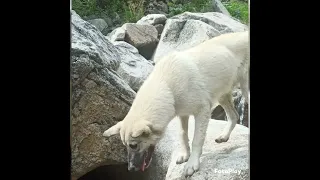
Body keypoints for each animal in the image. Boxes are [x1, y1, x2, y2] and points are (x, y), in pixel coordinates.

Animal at [104, 31, 249, 177]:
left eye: (133, 145)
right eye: (126, 145)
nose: (131, 168)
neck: (167, 85)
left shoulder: (202, 111)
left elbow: (197, 139)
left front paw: (192, 163)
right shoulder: (182, 114)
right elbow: (182, 134)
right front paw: (185, 155)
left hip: (245, 90)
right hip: (222, 95)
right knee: (234, 116)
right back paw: (224, 136)